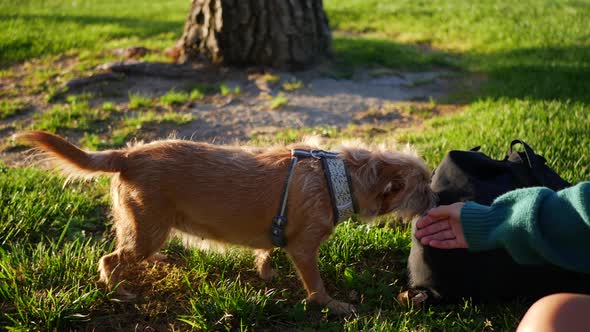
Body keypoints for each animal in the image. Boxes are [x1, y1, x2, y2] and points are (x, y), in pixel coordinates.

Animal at [18, 130, 438, 314]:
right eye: (423, 188)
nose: (438, 200)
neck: (339, 178)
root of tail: (126, 155)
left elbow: (266, 252)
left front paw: (266, 273)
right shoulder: (304, 248)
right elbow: (316, 283)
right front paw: (332, 304)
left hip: (147, 227)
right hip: (146, 231)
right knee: (110, 259)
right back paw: (119, 290)